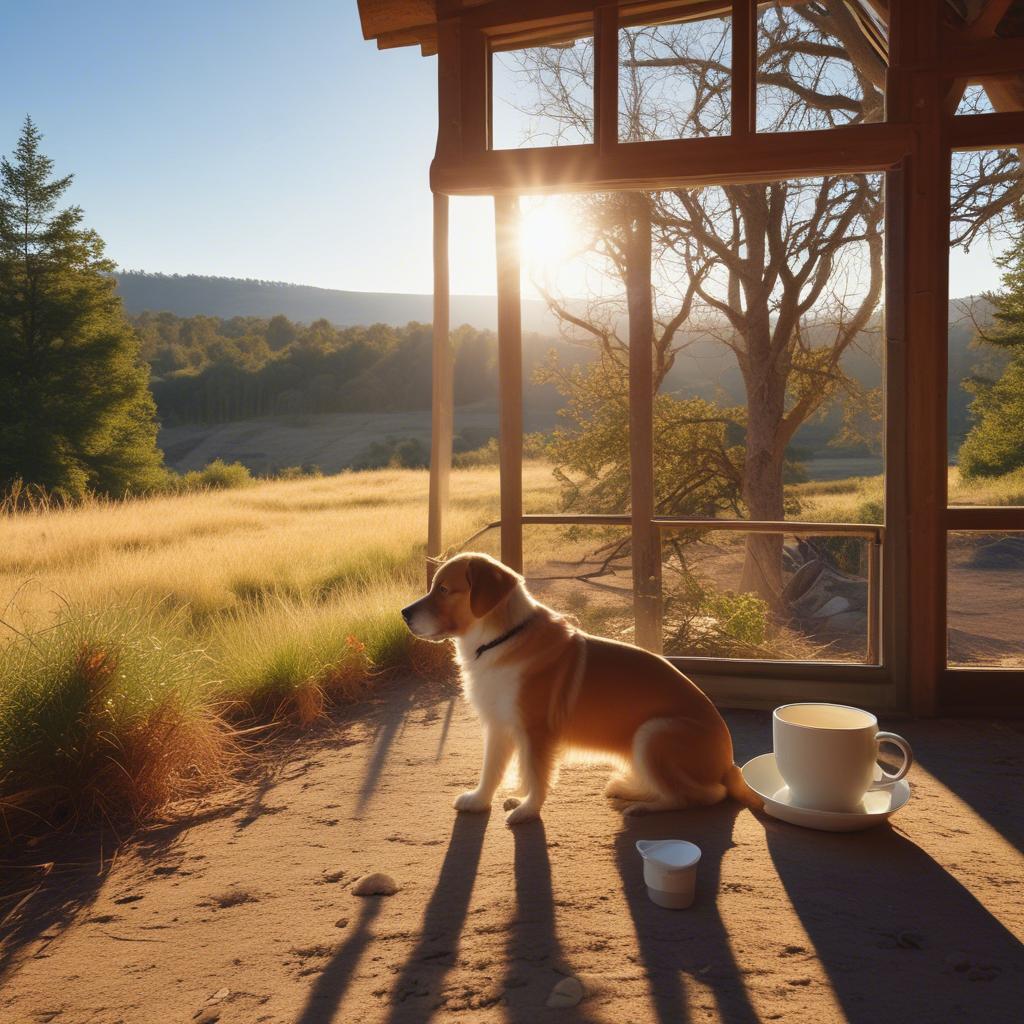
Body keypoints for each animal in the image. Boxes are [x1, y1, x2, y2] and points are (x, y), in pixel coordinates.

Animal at [399, 552, 761, 823]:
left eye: (444, 589)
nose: (403, 613)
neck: (499, 640)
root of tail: (729, 764)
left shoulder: (537, 732)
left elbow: (537, 776)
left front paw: (527, 810)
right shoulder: (499, 726)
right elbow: (493, 770)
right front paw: (479, 801)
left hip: (653, 733)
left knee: (700, 795)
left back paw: (643, 807)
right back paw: (629, 789)